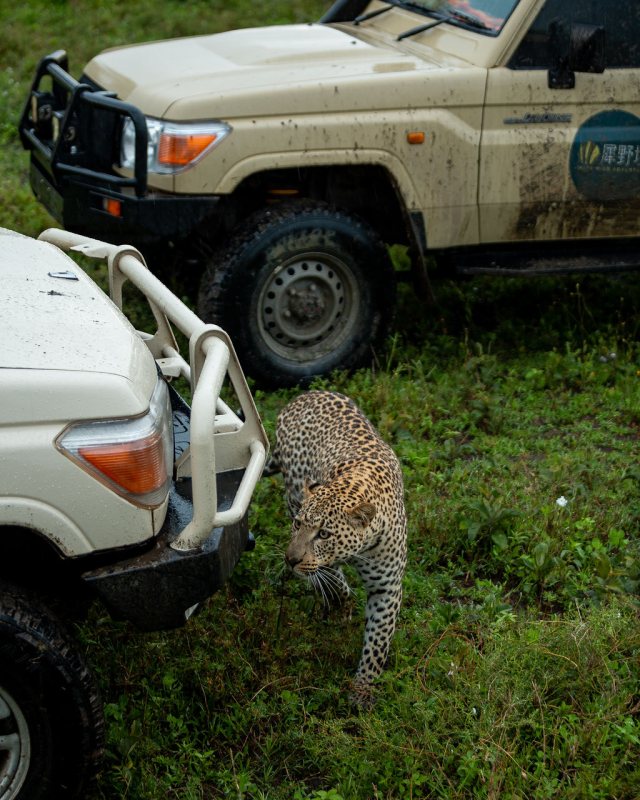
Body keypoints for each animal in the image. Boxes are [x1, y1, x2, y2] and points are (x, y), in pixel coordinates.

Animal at [274, 389, 407, 707]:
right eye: (298, 525)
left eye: (323, 534)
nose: (290, 559)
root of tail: (305, 394)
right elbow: (331, 578)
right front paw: (340, 606)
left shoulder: (387, 587)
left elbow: (377, 642)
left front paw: (363, 688)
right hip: (291, 491)